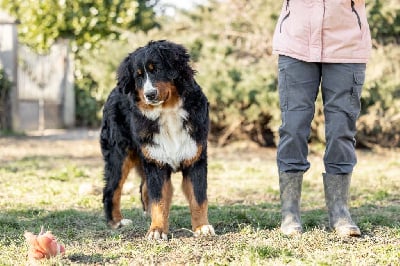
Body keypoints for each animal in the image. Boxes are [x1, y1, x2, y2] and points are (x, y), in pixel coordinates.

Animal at [100, 40, 216, 241]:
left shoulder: (195, 160)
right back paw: (116, 221)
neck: (168, 112)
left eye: (157, 69)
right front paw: (157, 230)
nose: (150, 94)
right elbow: (159, 200)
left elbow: (198, 198)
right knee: (111, 190)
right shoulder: (156, 163)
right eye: (138, 76)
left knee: (144, 188)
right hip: (119, 156)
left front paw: (202, 227)